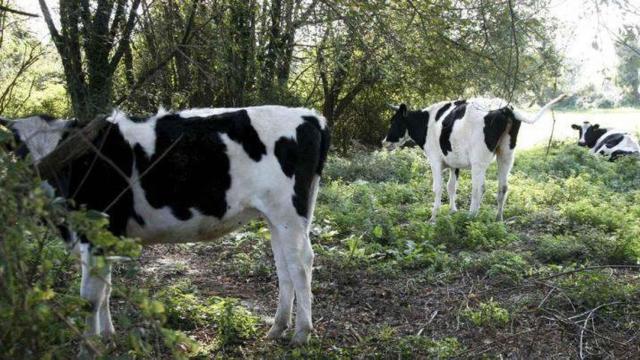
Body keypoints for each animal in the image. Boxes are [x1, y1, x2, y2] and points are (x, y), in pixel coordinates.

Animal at [0, 106, 330, 346]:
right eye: (20, 151)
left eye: (65, 157)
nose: (41, 186)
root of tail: (310, 115)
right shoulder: (98, 237)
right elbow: (104, 289)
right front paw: (107, 337)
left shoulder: (99, 233)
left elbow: (90, 298)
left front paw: (89, 346)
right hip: (277, 219)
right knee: (285, 267)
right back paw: (278, 328)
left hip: (288, 214)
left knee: (301, 266)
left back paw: (301, 333)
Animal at [380, 94, 564, 221]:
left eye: (394, 122)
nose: (384, 142)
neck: (427, 122)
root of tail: (504, 109)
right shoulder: (454, 163)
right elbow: (451, 186)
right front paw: (452, 210)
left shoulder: (435, 161)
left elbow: (438, 188)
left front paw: (433, 216)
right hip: (506, 155)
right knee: (503, 187)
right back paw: (498, 218)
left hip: (479, 162)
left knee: (479, 188)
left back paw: (471, 216)